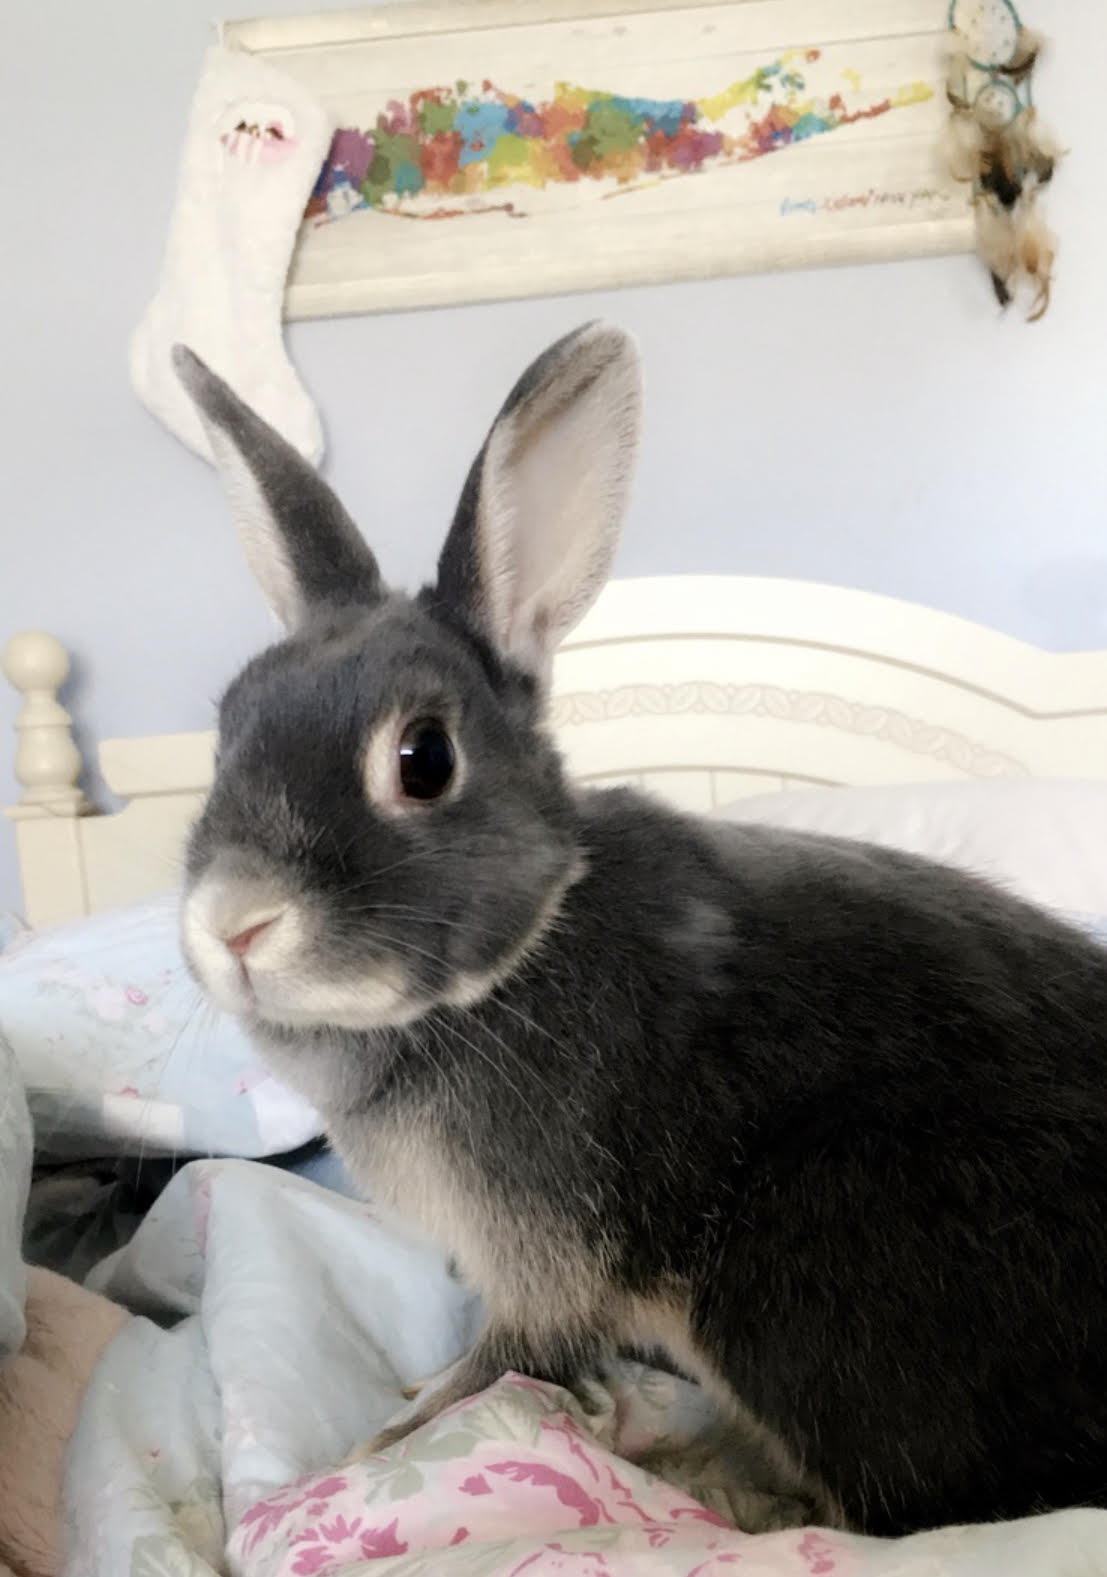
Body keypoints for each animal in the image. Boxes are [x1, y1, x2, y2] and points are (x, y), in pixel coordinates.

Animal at [173, 325, 1107, 1539]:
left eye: (423, 757)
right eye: (227, 722)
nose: (233, 922)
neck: (516, 959)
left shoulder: (544, 1262)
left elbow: (495, 1371)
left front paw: (365, 1447)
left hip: (800, 1283)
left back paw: (713, 1483)